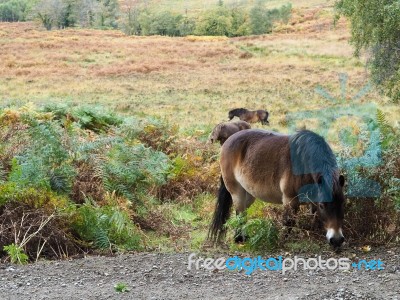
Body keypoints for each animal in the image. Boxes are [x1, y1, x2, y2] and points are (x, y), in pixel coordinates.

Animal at [208, 129, 346, 248]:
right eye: (323, 205)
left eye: (342, 203)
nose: (337, 240)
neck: (303, 163)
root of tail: (229, 140)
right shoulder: (290, 200)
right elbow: (289, 222)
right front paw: (282, 241)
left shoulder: (313, 201)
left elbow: (314, 218)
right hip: (237, 191)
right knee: (239, 214)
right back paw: (239, 239)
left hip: (249, 193)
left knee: (243, 213)